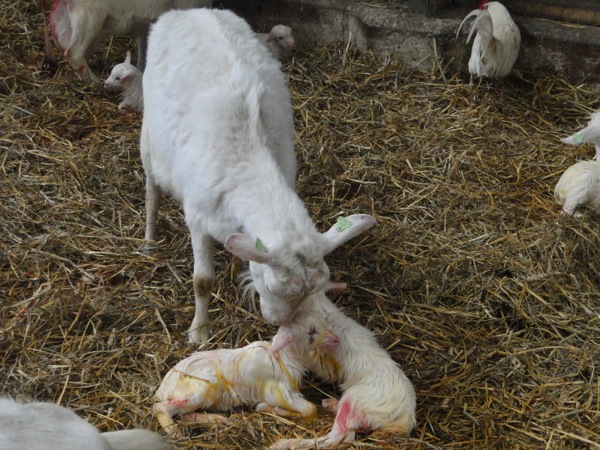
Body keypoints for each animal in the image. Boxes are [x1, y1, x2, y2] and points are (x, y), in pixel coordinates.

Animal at [141, 7, 376, 342]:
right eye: (271, 286)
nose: (277, 320)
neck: (249, 164)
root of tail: (190, 11)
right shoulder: (197, 216)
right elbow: (202, 280)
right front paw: (199, 332)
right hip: (149, 137)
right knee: (152, 192)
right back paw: (149, 241)